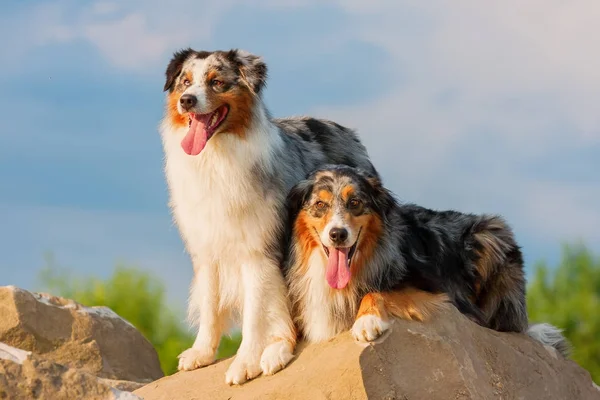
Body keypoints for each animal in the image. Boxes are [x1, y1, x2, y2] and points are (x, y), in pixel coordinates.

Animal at [157, 50, 378, 384]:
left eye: (216, 82)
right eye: (185, 82)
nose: (187, 101)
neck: (216, 157)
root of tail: (344, 129)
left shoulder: (257, 251)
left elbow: (255, 313)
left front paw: (246, 362)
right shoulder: (206, 247)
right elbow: (209, 303)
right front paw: (202, 353)